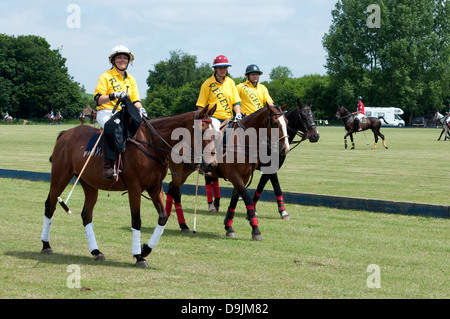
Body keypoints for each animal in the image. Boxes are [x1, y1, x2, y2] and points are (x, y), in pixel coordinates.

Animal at [41, 105, 217, 268]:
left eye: (215, 133)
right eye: (202, 132)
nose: (211, 165)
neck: (152, 144)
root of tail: (66, 133)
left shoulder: (155, 187)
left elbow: (163, 217)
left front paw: (145, 249)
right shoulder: (134, 188)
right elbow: (136, 220)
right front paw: (139, 256)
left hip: (89, 184)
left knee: (86, 214)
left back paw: (96, 252)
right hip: (60, 176)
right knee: (50, 205)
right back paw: (46, 245)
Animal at [164, 104, 288, 241]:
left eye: (287, 122)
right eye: (275, 123)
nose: (285, 148)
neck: (242, 142)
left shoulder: (243, 177)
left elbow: (234, 201)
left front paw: (229, 227)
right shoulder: (234, 175)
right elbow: (246, 198)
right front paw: (256, 230)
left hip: (186, 170)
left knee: (171, 187)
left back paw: (167, 217)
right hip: (178, 168)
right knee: (176, 192)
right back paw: (182, 225)